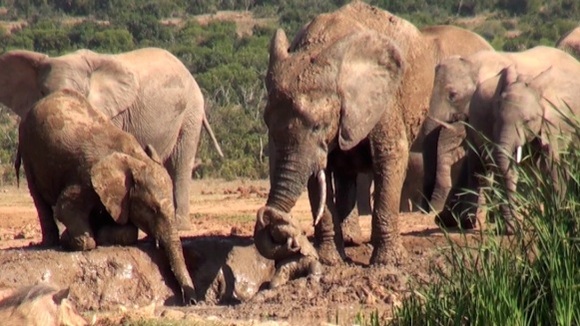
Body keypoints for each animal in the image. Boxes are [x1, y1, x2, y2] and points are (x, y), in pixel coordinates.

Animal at [0, 47, 223, 232]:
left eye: (77, 93)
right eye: (42, 92)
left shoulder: (111, 114)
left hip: (191, 112)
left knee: (180, 164)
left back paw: (181, 227)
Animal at [16, 90, 197, 306]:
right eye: (153, 210)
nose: (192, 301)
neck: (134, 158)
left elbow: (127, 230)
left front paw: (97, 234)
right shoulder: (85, 177)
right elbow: (65, 208)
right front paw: (72, 239)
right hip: (27, 147)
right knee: (38, 197)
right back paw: (51, 241)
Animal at [254, 1, 494, 284]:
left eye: (319, 126)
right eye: (267, 123)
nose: (269, 218)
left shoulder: (384, 98)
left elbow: (391, 156)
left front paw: (388, 263)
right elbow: (318, 179)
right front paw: (330, 261)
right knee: (344, 171)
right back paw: (350, 241)